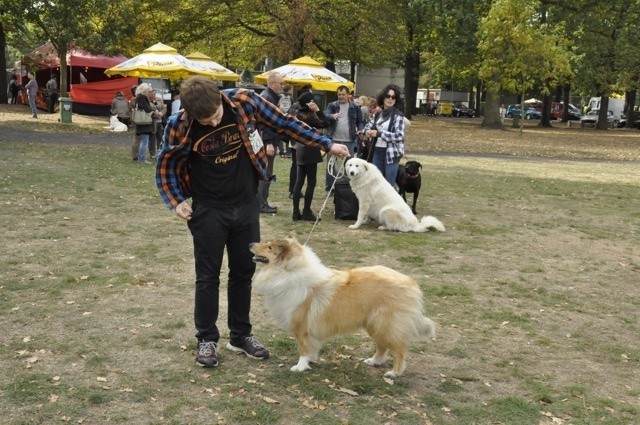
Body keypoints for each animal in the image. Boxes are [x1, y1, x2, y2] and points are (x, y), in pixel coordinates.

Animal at [249, 235, 436, 378]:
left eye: (269, 247)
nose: (250, 244)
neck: (286, 271)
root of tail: (411, 283)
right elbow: (311, 349)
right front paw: (311, 360)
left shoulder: (302, 328)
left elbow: (303, 349)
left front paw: (300, 367)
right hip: (374, 325)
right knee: (382, 346)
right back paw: (373, 361)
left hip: (386, 325)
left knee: (399, 351)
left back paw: (394, 373)